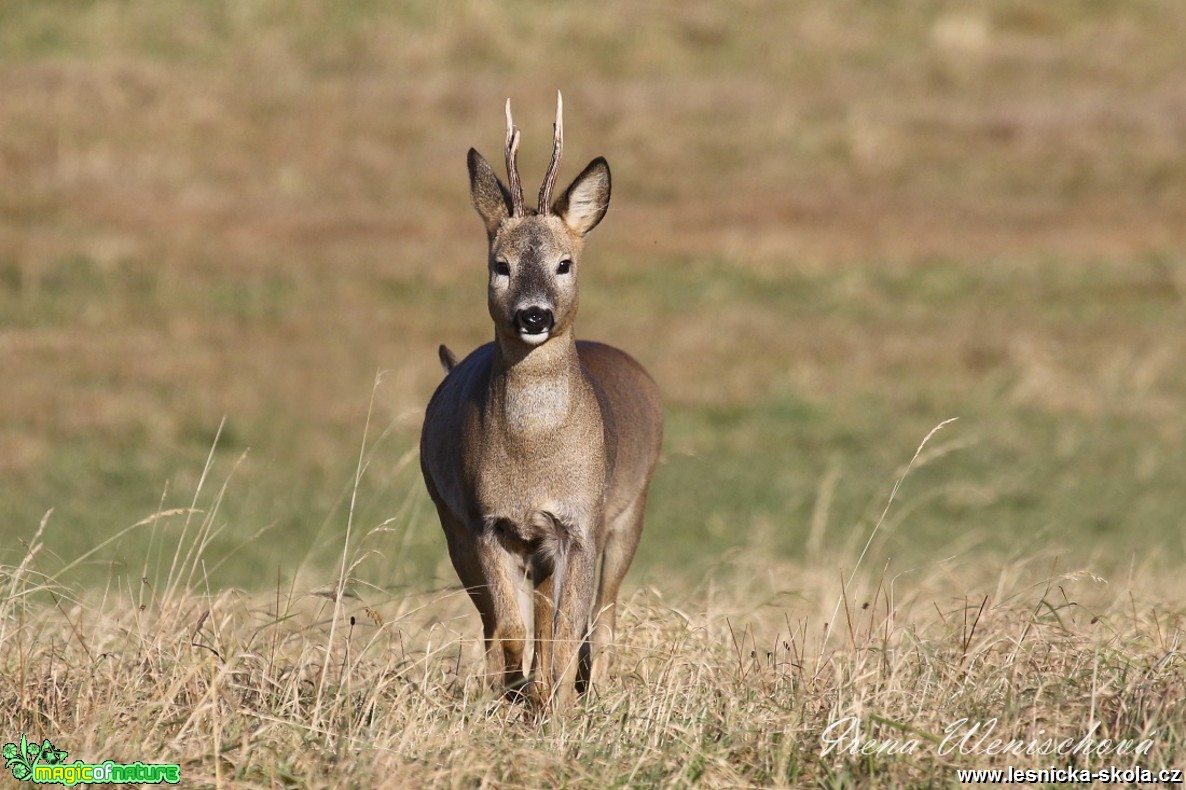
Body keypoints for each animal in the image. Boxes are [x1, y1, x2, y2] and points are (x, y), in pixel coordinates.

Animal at [417, 92, 664, 706]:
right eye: (499, 265)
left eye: (564, 263)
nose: (534, 315)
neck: (535, 455)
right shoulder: (486, 522)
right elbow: (512, 627)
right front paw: (517, 694)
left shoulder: (580, 522)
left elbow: (568, 629)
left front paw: (554, 706)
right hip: (452, 519)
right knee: (503, 622)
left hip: (630, 510)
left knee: (601, 617)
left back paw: (582, 691)